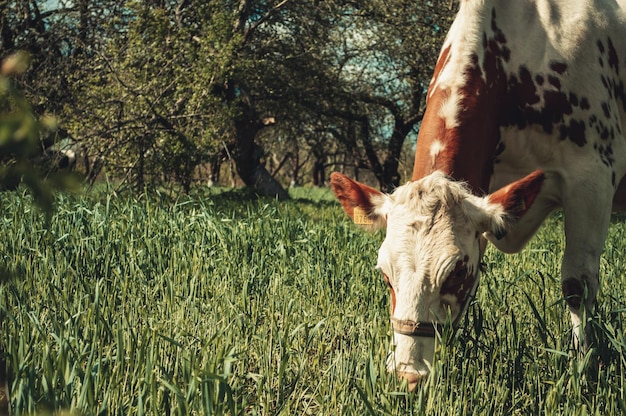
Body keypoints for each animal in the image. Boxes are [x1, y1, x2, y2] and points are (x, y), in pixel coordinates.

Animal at [330, 0, 620, 390]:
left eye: (455, 274)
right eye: (385, 275)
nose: (408, 375)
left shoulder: (591, 178)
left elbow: (577, 283)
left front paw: (584, 367)